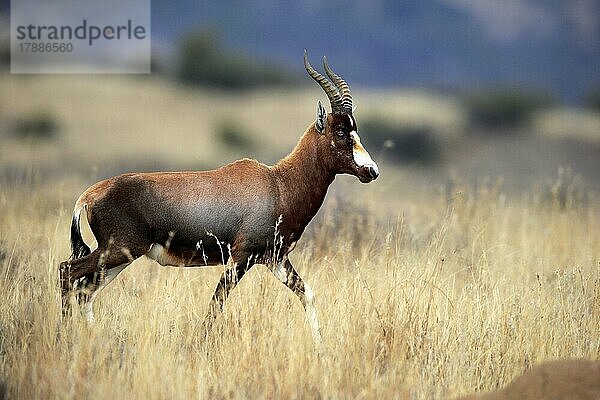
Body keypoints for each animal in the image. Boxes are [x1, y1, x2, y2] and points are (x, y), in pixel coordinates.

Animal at [61, 51, 380, 346]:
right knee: (68, 273)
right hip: (119, 250)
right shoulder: (241, 258)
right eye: (341, 131)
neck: (277, 183)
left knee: (86, 291)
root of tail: (89, 194)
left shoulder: (275, 259)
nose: (372, 171)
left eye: (354, 129)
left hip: (119, 257)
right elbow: (217, 302)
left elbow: (307, 295)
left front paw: (321, 348)